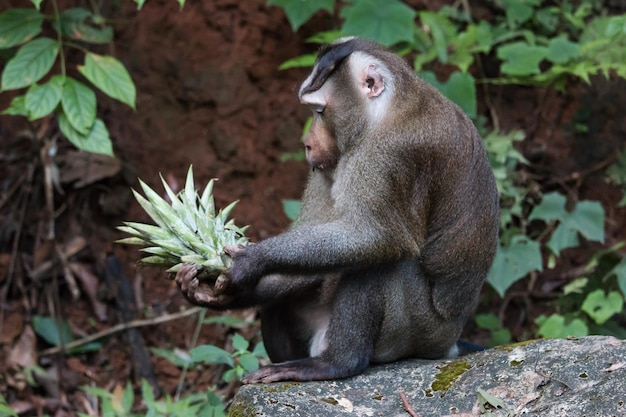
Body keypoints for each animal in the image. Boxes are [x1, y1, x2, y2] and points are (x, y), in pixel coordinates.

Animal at [174, 36, 498, 384]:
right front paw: (225, 293)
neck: (385, 111)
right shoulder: (329, 165)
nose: (307, 143)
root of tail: (448, 343)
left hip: (417, 333)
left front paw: (251, 261)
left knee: (384, 259)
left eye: (319, 110)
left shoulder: (389, 155)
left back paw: (338, 362)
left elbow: (375, 238)